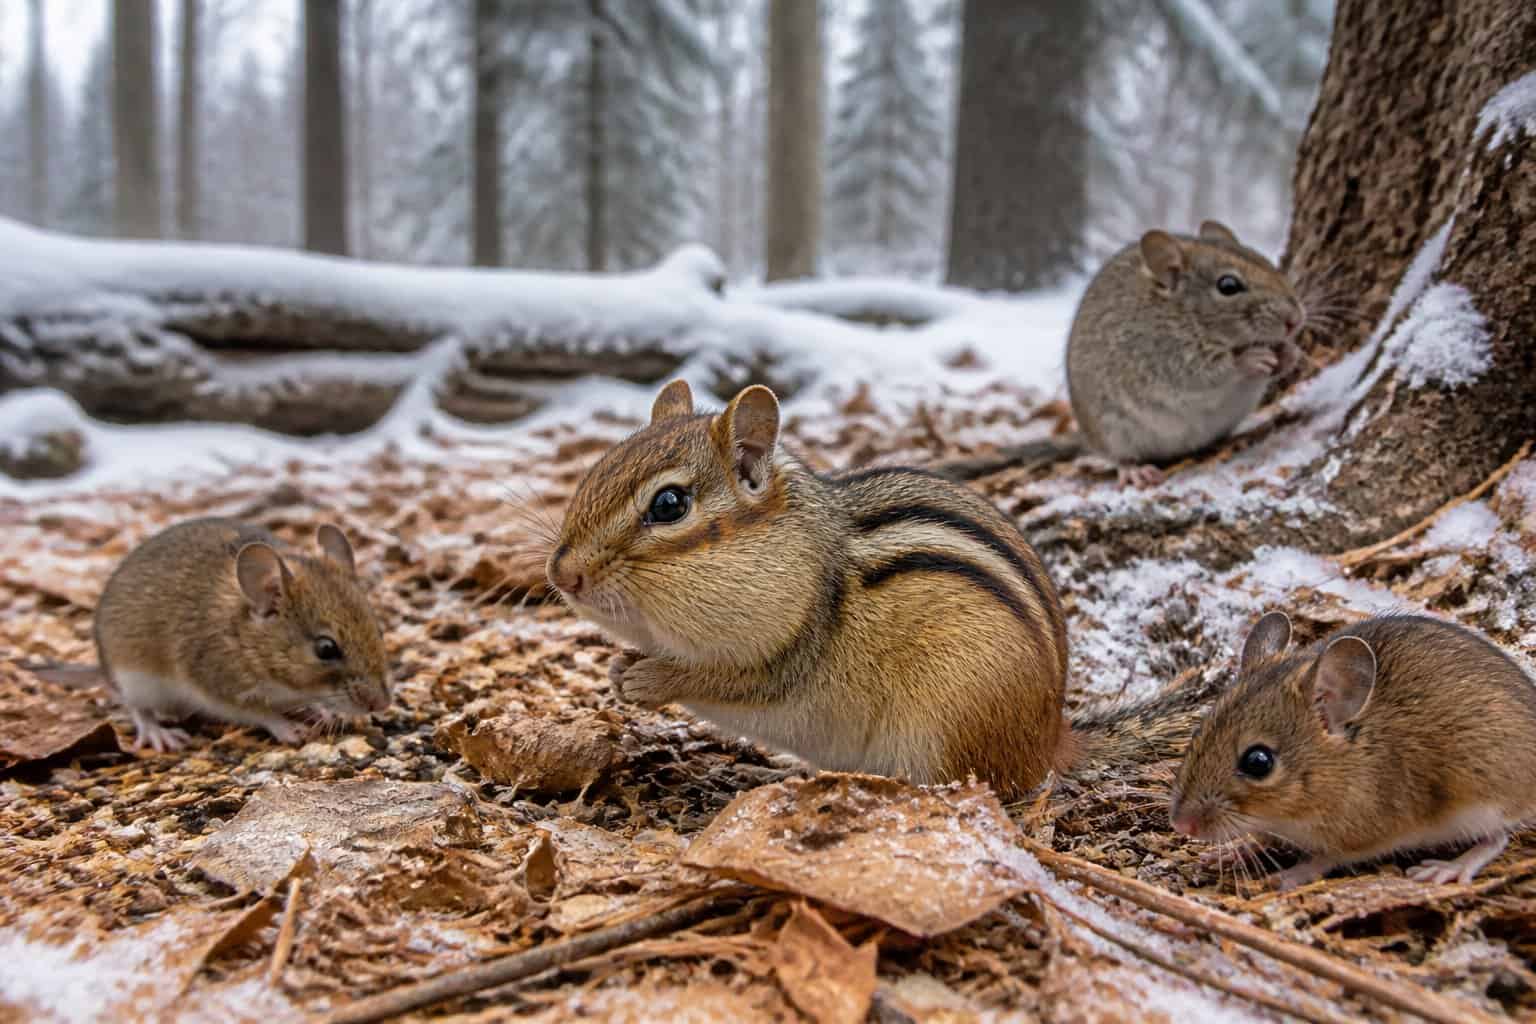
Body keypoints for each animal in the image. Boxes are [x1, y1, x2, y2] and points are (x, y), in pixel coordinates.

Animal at [30, 517, 392, 752]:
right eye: (326, 648)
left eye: (378, 629)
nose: (383, 704)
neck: (243, 636)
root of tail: (102, 667)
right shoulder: (218, 689)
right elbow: (261, 713)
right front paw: (290, 729)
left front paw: (323, 712)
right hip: (135, 678)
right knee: (137, 708)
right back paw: (160, 735)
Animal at [545, 379, 1213, 799]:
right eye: (599, 466)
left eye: (669, 505)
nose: (562, 575)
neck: (800, 551)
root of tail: (1050, 738)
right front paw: (618, 666)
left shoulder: (790, 647)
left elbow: (724, 680)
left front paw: (647, 679)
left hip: (947, 718)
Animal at [941, 221, 1306, 486]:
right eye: (1228, 286)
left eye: (1267, 262)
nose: (1295, 319)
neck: (1182, 315)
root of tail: (1087, 437)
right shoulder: (1164, 355)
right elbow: (1211, 372)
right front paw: (1250, 359)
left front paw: (1290, 353)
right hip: (1113, 430)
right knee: (1118, 456)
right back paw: (1133, 469)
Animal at [1172, 612, 1536, 889]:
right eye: (1198, 732)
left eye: (1258, 762)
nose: (1181, 825)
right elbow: (1261, 837)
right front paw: (1229, 851)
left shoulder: (1366, 832)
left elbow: (1325, 857)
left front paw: (1288, 876)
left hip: (1482, 801)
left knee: (1497, 839)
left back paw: (1447, 868)